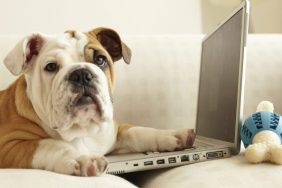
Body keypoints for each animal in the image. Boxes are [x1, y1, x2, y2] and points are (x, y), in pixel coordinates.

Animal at [0, 27, 195, 176]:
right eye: (51, 67)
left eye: (100, 59)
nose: (81, 74)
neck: (83, 130)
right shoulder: (9, 145)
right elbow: (48, 145)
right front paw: (81, 158)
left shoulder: (115, 132)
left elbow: (137, 132)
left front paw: (172, 135)